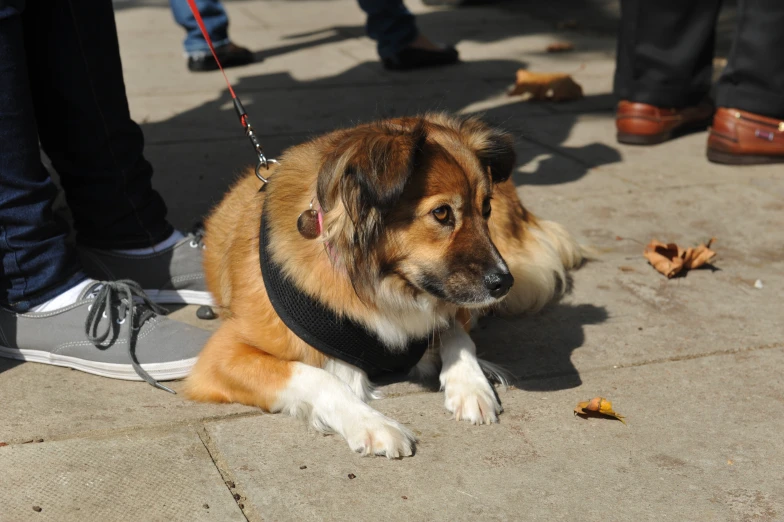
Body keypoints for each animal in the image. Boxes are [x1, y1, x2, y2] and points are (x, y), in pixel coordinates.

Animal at [187, 112, 580, 456]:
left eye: (485, 209)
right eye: (441, 213)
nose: (503, 282)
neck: (382, 282)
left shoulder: (451, 299)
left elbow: (455, 331)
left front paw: (471, 385)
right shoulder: (223, 357)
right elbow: (318, 376)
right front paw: (373, 425)